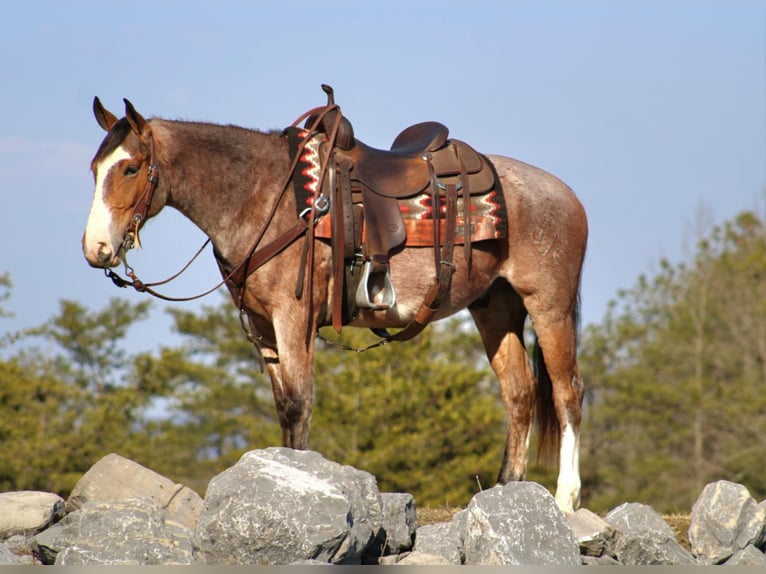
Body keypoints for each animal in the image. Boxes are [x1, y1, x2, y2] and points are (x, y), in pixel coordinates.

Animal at [82, 92, 588, 516]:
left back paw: (565, 499)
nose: (96, 250)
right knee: (519, 393)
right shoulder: (262, 327)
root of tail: (566, 194)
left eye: (130, 168)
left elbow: (299, 402)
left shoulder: (293, 317)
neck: (264, 196)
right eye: (94, 169)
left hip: (550, 307)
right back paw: (508, 491)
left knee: (567, 392)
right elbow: (283, 405)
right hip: (495, 308)